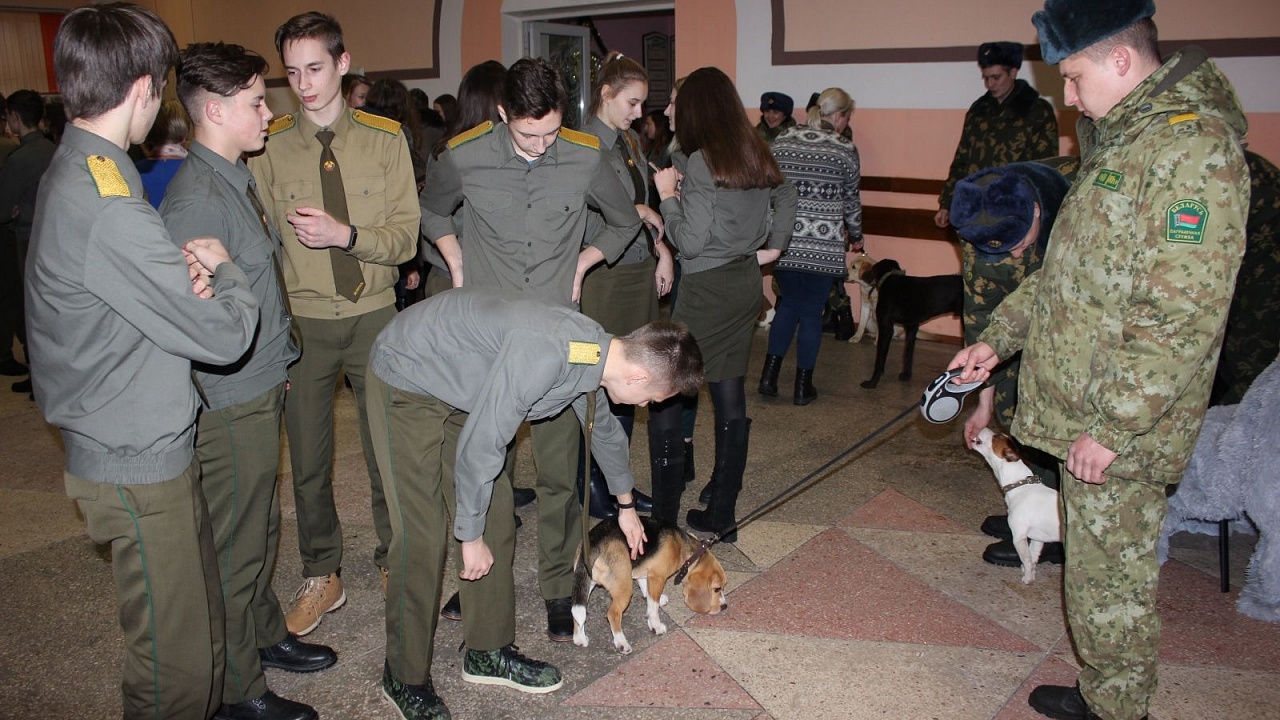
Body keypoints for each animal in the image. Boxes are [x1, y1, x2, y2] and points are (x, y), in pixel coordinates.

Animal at [571, 515, 728, 654]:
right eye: (717, 589)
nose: (725, 607)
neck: (684, 549)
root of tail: (594, 539)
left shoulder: (643, 571)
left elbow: (645, 587)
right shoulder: (657, 577)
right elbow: (653, 607)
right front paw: (656, 625)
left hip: (586, 582)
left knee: (578, 611)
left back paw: (579, 638)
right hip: (624, 589)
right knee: (613, 614)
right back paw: (621, 643)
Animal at [858, 259, 962, 389]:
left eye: (872, 268)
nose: (862, 275)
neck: (890, 278)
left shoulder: (886, 328)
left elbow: (879, 361)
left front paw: (872, 382)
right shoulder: (912, 327)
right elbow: (908, 355)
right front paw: (906, 375)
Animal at [971, 428, 1062, 584]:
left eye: (996, 437)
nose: (984, 427)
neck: (1019, 484)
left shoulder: (1019, 537)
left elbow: (1026, 559)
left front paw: (1027, 578)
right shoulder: (1038, 539)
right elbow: (1033, 557)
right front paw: (1030, 573)